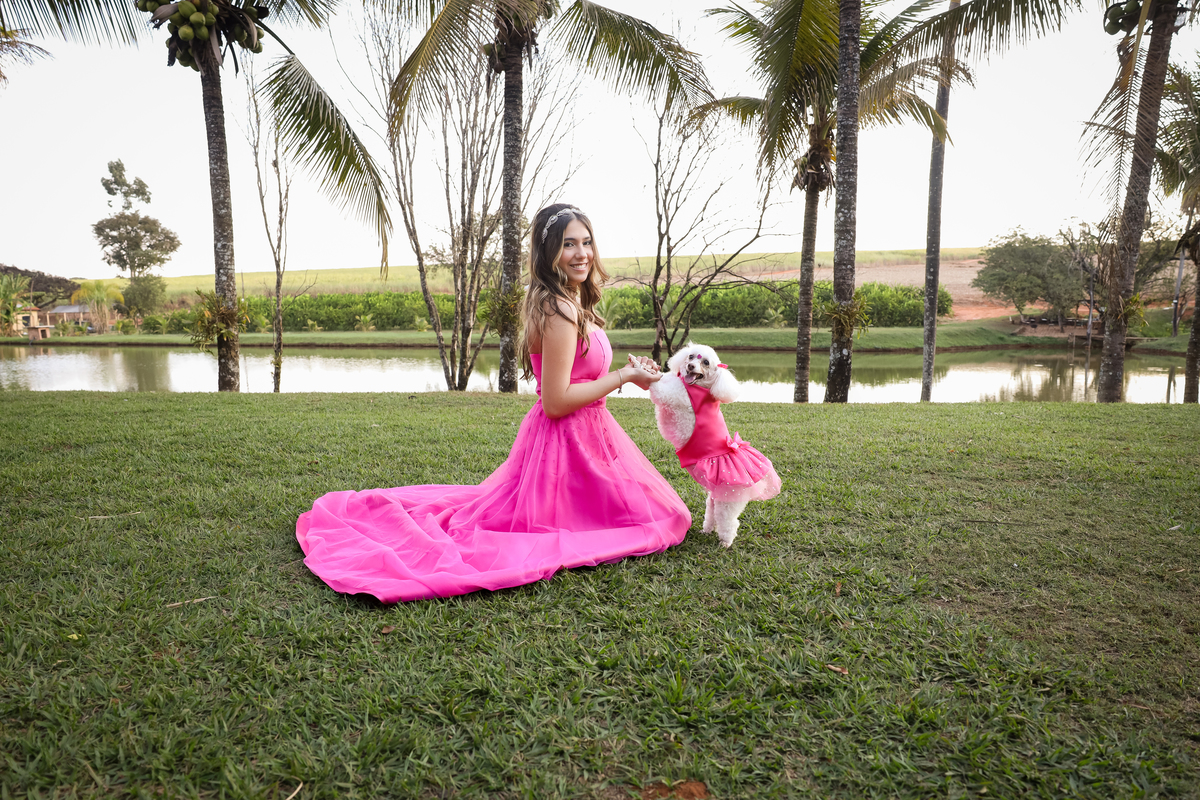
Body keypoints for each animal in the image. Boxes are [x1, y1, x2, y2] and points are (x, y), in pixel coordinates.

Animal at [646, 343, 781, 548]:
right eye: (690, 356)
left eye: (706, 363)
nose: (690, 366)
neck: (700, 386)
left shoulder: (677, 397)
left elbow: (659, 389)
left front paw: (641, 369)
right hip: (715, 497)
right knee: (711, 513)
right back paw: (707, 530)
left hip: (728, 501)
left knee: (729, 521)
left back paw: (725, 542)